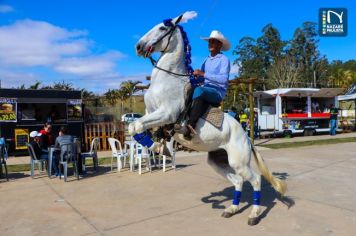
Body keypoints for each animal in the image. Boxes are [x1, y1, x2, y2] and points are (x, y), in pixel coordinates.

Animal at [129, 11, 286, 225]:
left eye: (162, 28)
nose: (138, 46)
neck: (167, 80)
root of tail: (247, 138)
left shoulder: (166, 113)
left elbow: (136, 126)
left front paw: (159, 147)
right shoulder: (150, 112)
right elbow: (135, 126)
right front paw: (160, 145)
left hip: (239, 162)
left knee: (255, 179)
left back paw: (253, 215)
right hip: (218, 161)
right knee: (238, 180)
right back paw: (231, 209)